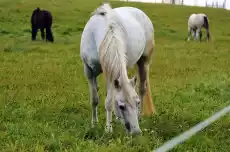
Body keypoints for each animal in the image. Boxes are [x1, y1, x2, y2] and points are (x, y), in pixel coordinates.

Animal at [79, 2, 156, 135]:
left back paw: (140, 116)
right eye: (121, 106)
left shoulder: (110, 73)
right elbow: (94, 99)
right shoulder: (89, 71)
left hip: (144, 62)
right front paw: (94, 124)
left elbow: (109, 102)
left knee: (142, 88)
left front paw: (108, 128)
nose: (136, 132)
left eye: (137, 103)